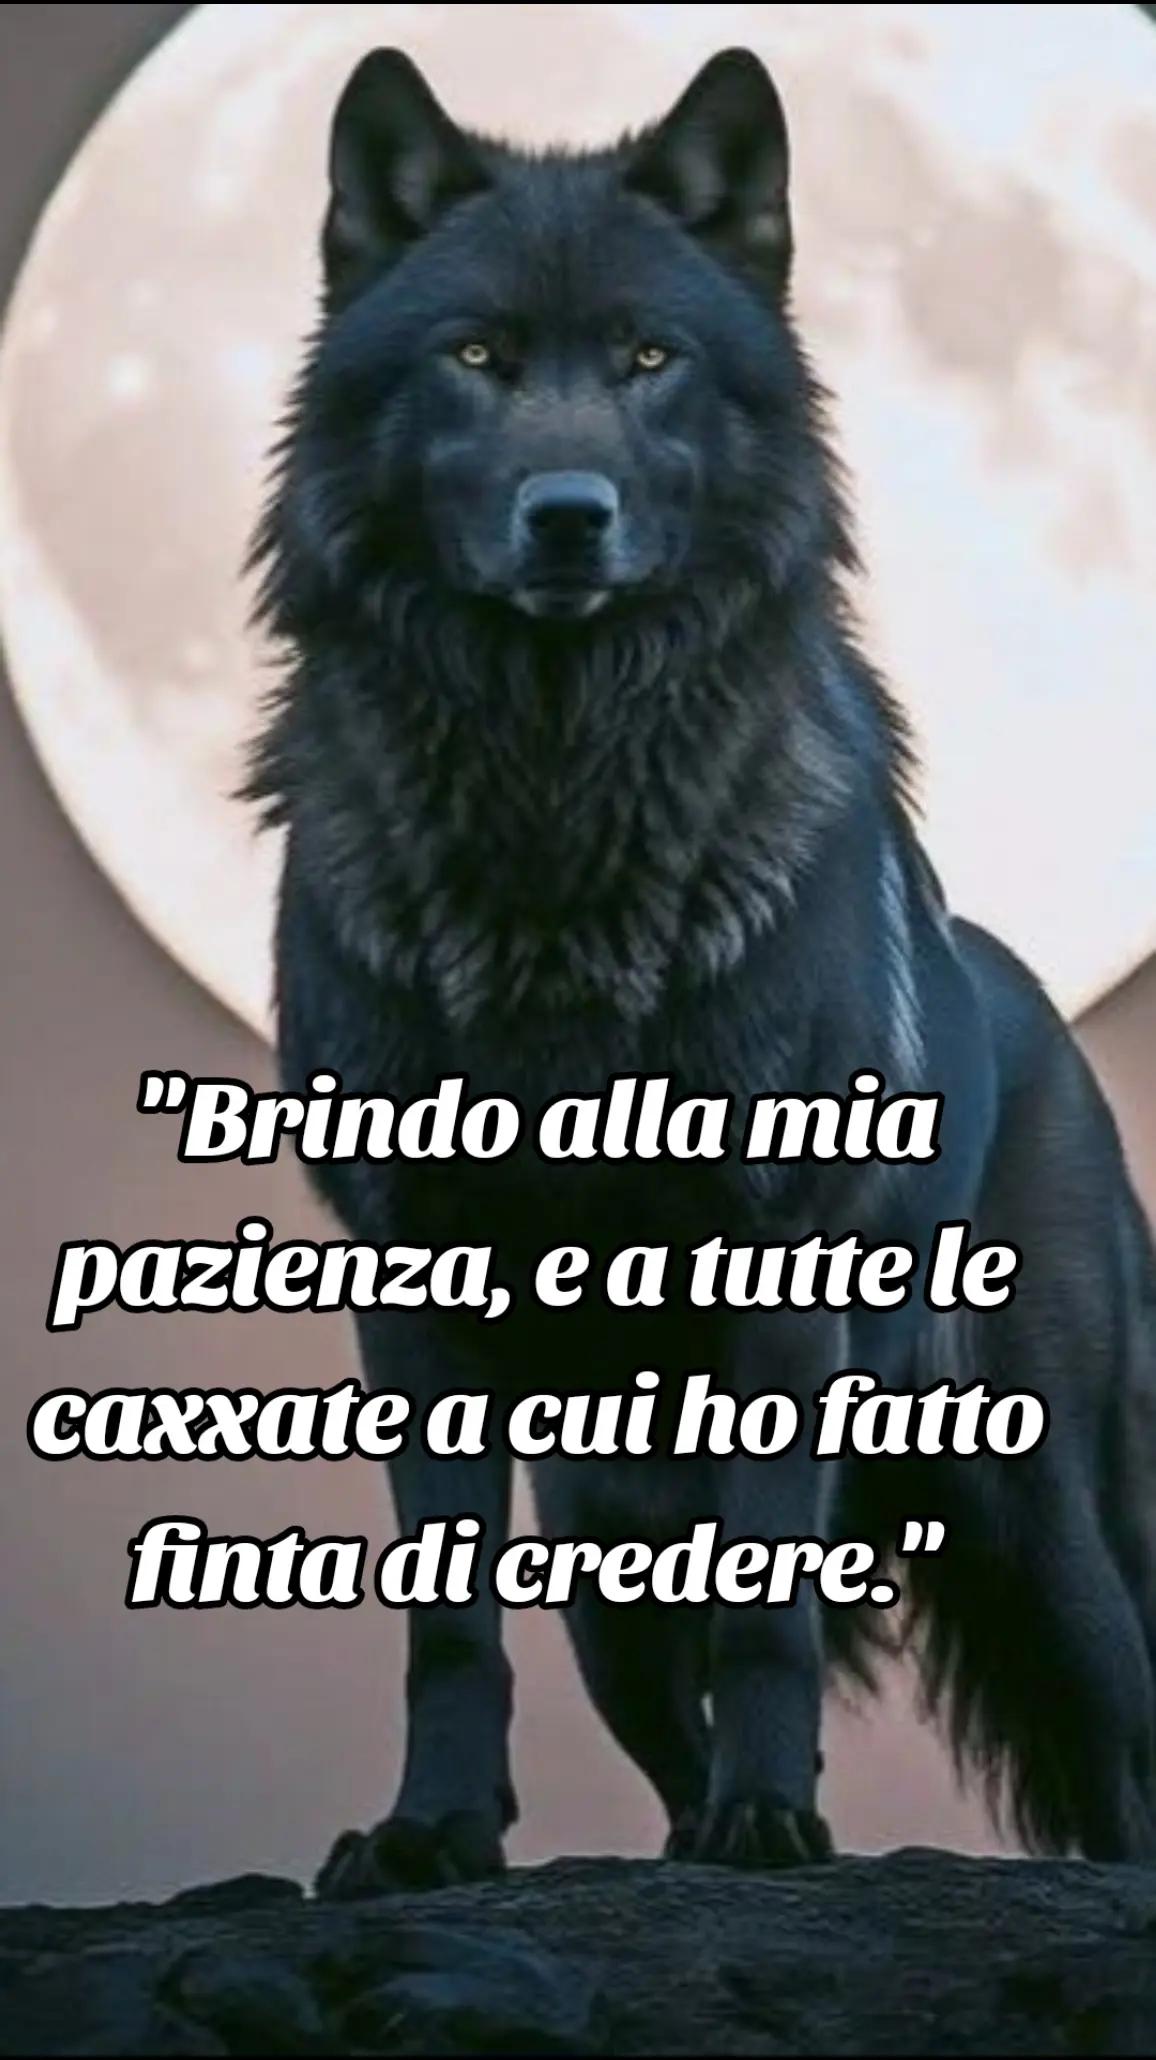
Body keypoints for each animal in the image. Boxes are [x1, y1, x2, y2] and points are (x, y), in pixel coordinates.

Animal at [246, 47, 1156, 1890]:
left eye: (651, 359)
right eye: (477, 358)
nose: (567, 515)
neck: (551, 823)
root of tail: (1039, 1009)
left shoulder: (777, 1275)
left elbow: (771, 1619)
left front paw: (772, 1825)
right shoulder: (411, 1290)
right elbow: (449, 1628)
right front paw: (431, 1835)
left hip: (1050, 1533)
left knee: (1121, 1765)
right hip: (607, 1563)